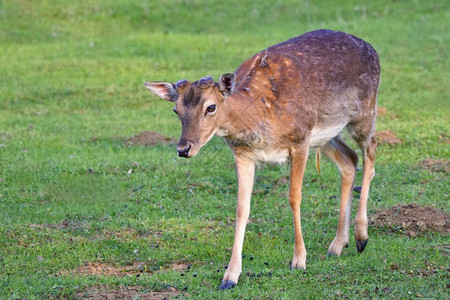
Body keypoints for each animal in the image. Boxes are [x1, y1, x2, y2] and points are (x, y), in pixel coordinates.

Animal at [144, 29, 380, 290]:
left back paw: (361, 237)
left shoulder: (300, 140)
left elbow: (294, 197)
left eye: (211, 107)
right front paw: (230, 276)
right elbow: (242, 208)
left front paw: (299, 260)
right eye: (176, 110)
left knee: (371, 152)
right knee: (349, 159)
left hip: (364, 113)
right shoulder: (243, 154)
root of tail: (371, 48)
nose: (183, 149)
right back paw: (338, 245)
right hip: (325, 135)